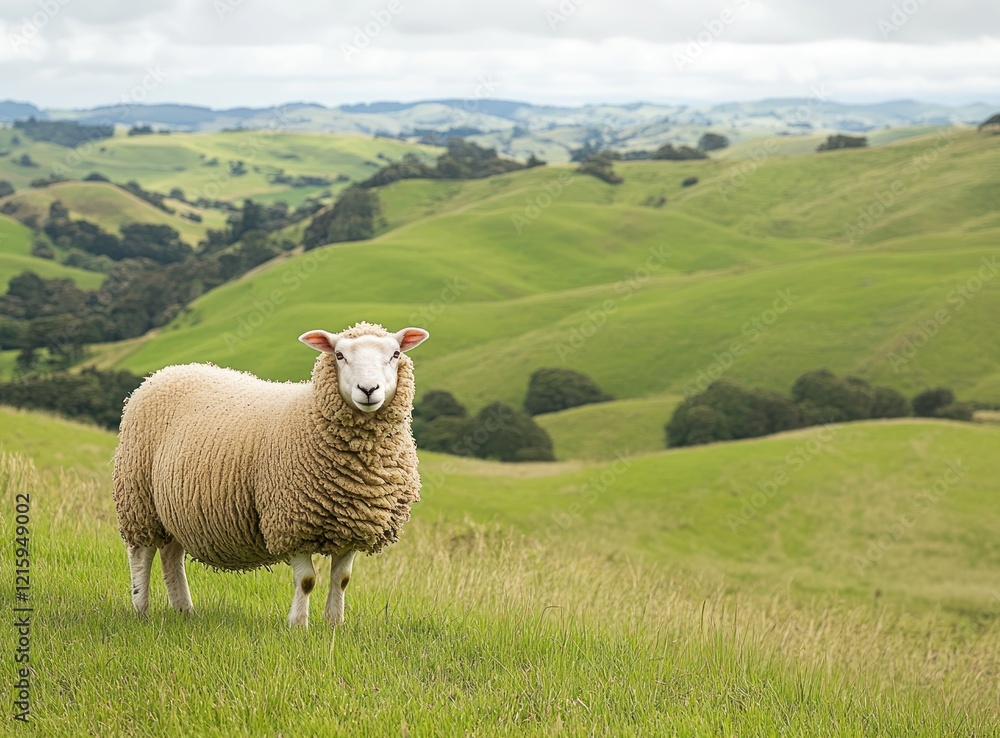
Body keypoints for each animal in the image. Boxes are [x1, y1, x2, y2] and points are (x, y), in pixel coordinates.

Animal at [112, 321, 429, 628]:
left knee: (171, 555)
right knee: (140, 554)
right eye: (339, 355)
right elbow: (307, 580)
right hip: (138, 498)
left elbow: (342, 579)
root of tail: (166, 371)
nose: (368, 389)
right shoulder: (291, 521)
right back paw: (141, 610)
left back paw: (184, 610)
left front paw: (334, 624)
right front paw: (298, 625)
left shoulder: (353, 524)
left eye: (395, 354)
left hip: (171, 509)